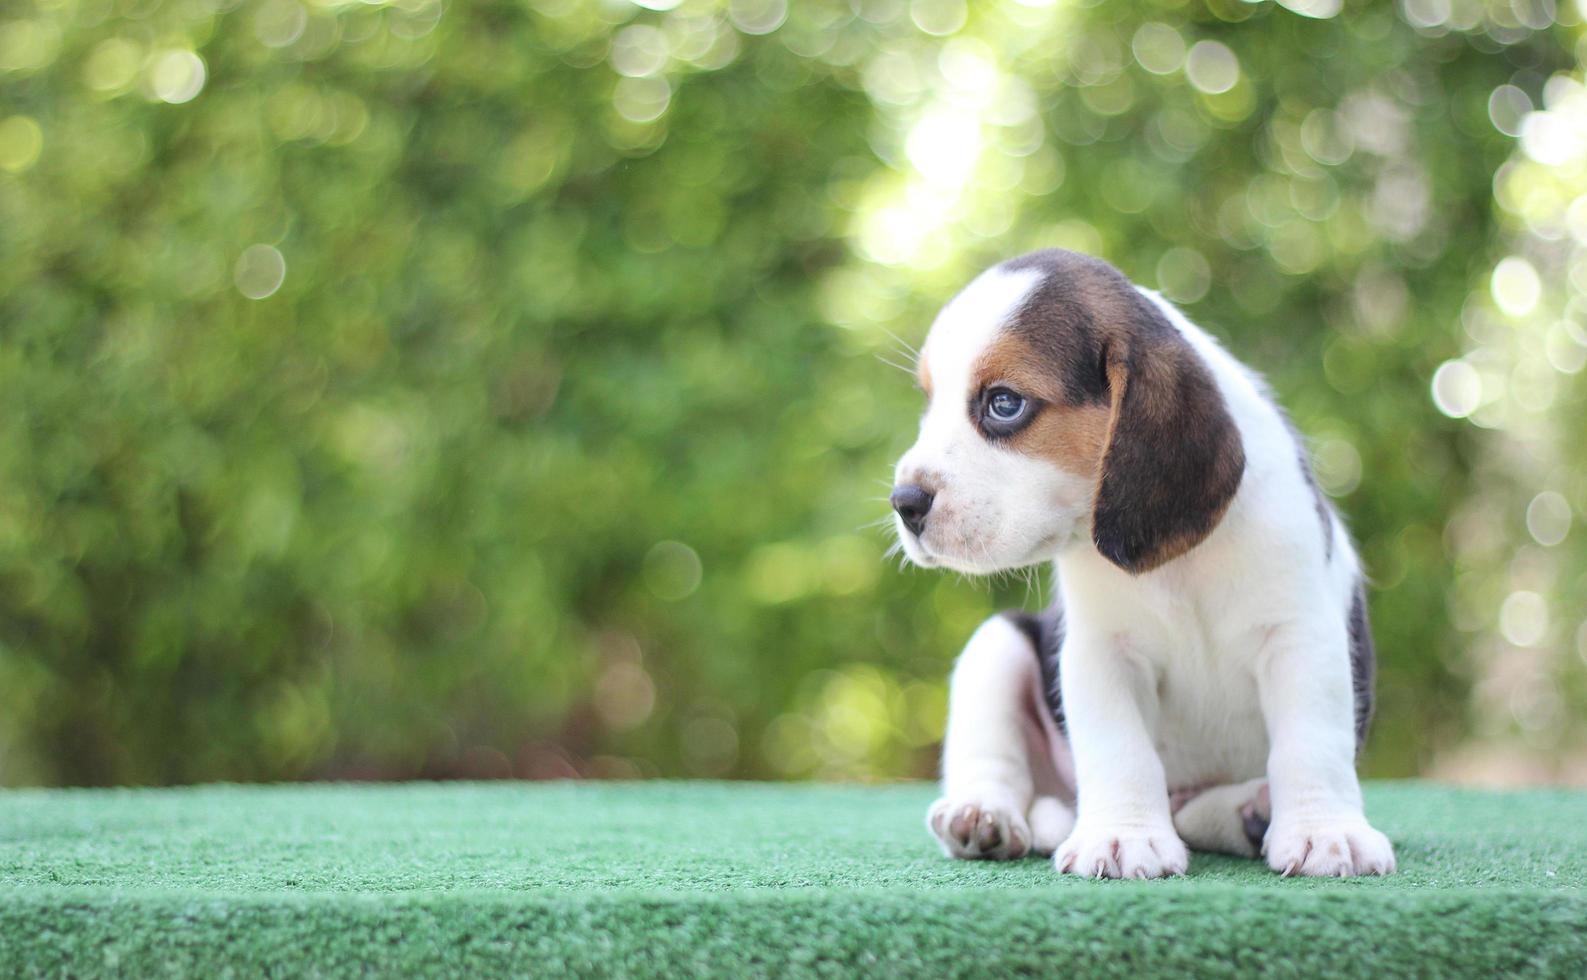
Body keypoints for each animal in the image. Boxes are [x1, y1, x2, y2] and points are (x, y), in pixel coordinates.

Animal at [888, 247, 1396, 875]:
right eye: (929, 402)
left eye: (1004, 403)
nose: (904, 502)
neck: (1180, 570)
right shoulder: (1102, 653)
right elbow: (1120, 749)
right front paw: (1121, 837)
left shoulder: (1300, 636)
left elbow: (1312, 742)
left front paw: (1326, 833)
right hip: (997, 645)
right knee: (995, 761)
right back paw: (982, 817)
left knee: (1201, 808)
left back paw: (1249, 811)